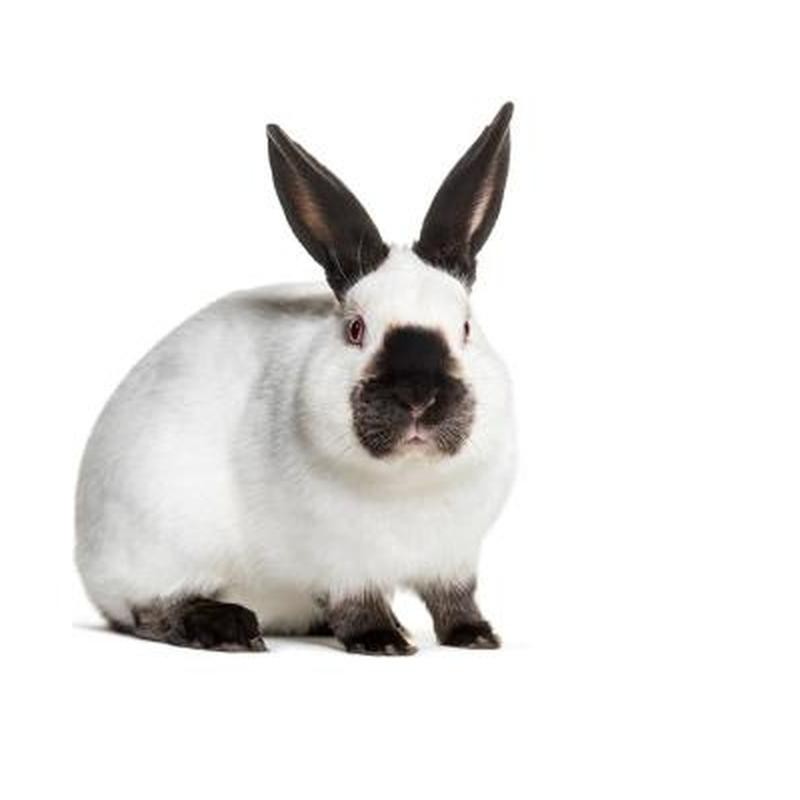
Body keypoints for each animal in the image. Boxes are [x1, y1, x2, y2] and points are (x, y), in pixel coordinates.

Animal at [75, 102, 517, 655]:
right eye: (355, 329)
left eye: (465, 328)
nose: (418, 396)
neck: (409, 479)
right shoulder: (341, 561)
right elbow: (356, 602)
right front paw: (380, 641)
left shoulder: (454, 557)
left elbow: (454, 599)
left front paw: (475, 636)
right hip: (156, 541)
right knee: (147, 610)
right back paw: (227, 628)